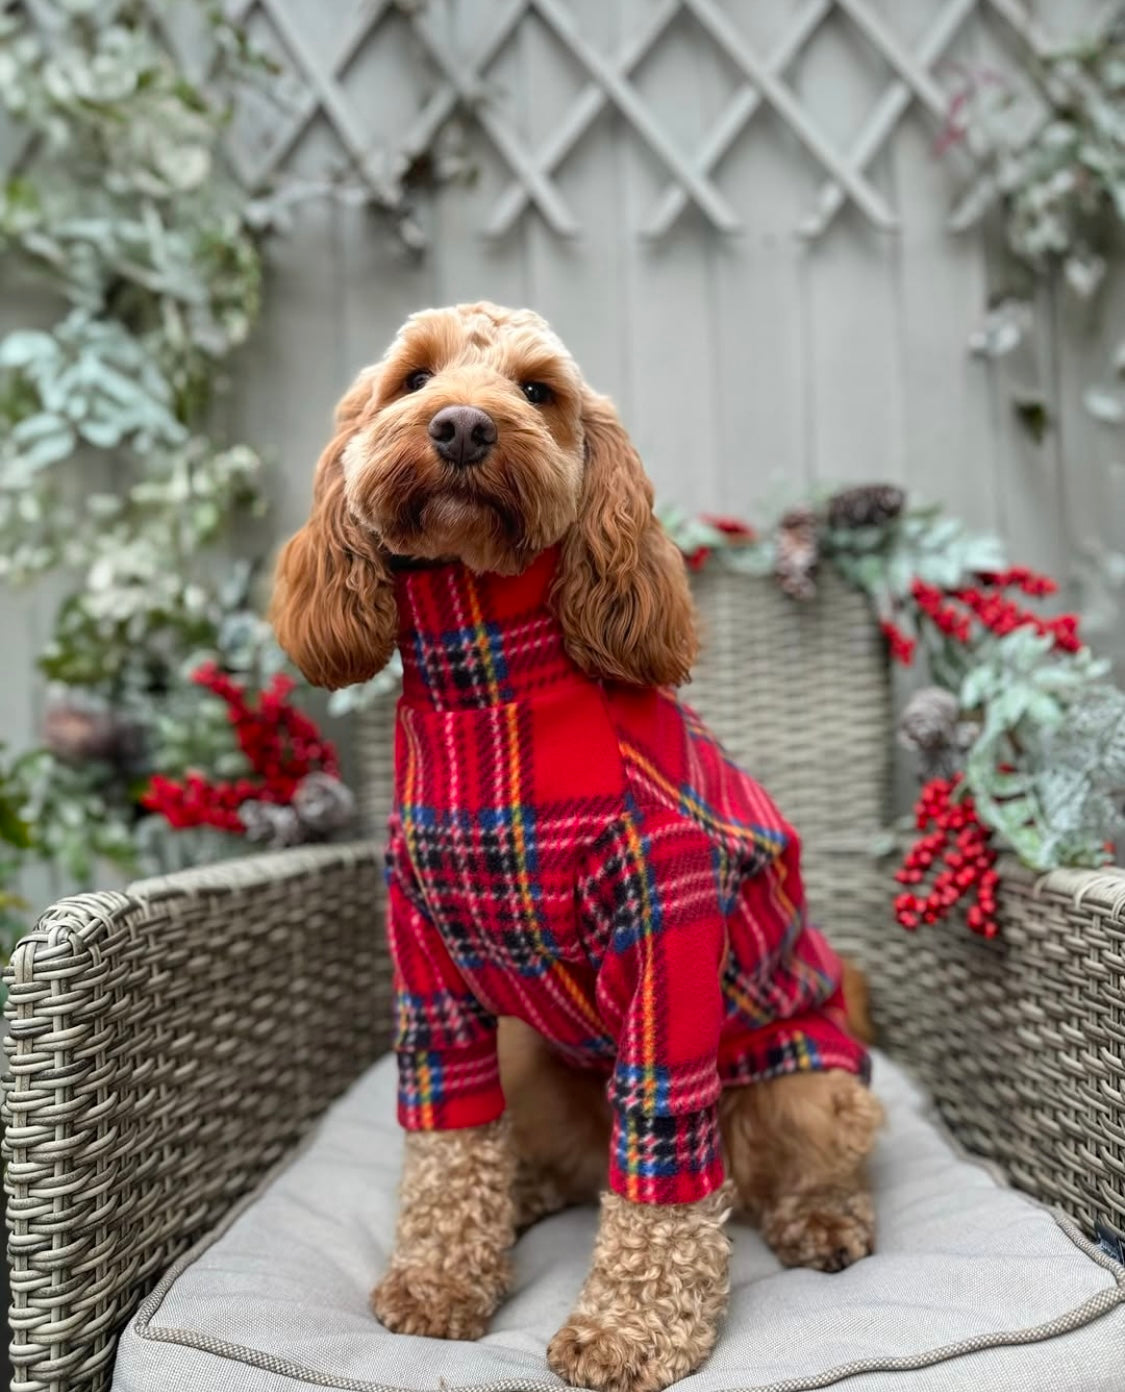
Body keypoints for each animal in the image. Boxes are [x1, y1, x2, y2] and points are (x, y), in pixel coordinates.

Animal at [270, 302, 879, 1392]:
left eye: (536, 391)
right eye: (414, 379)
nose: (462, 426)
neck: (487, 701)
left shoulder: (665, 936)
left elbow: (664, 1170)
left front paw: (629, 1331)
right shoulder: (427, 967)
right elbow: (450, 1140)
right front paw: (440, 1278)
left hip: (806, 1079)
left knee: (793, 1159)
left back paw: (821, 1219)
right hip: (531, 1057)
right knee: (549, 1154)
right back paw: (522, 1195)